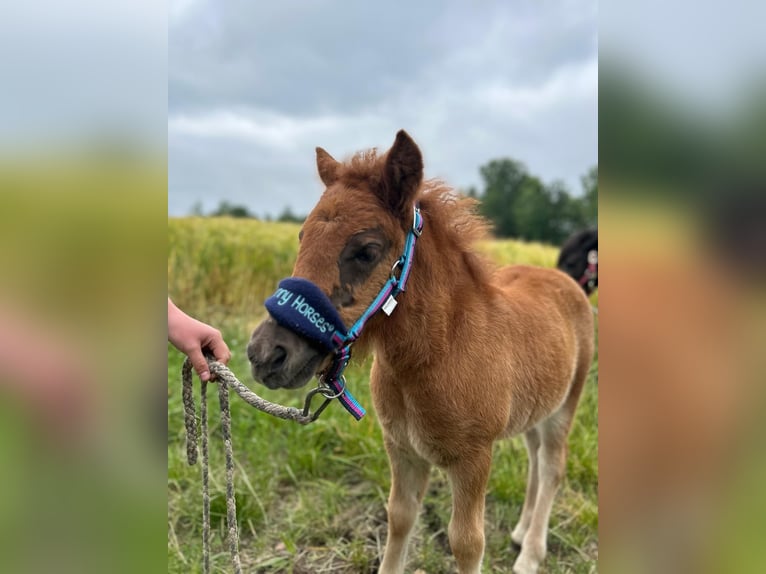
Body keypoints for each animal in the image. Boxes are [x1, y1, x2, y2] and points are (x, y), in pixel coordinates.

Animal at [249, 132, 596, 574]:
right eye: (301, 237)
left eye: (366, 250)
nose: (267, 353)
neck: (436, 356)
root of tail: (566, 281)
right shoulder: (401, 448)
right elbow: (400, 517)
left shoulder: (473, 459)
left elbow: (467, 543)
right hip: (538, 405)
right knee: (535, 457)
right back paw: (520, 533)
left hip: (567, 404)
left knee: (552, 466)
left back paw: (531, 554)